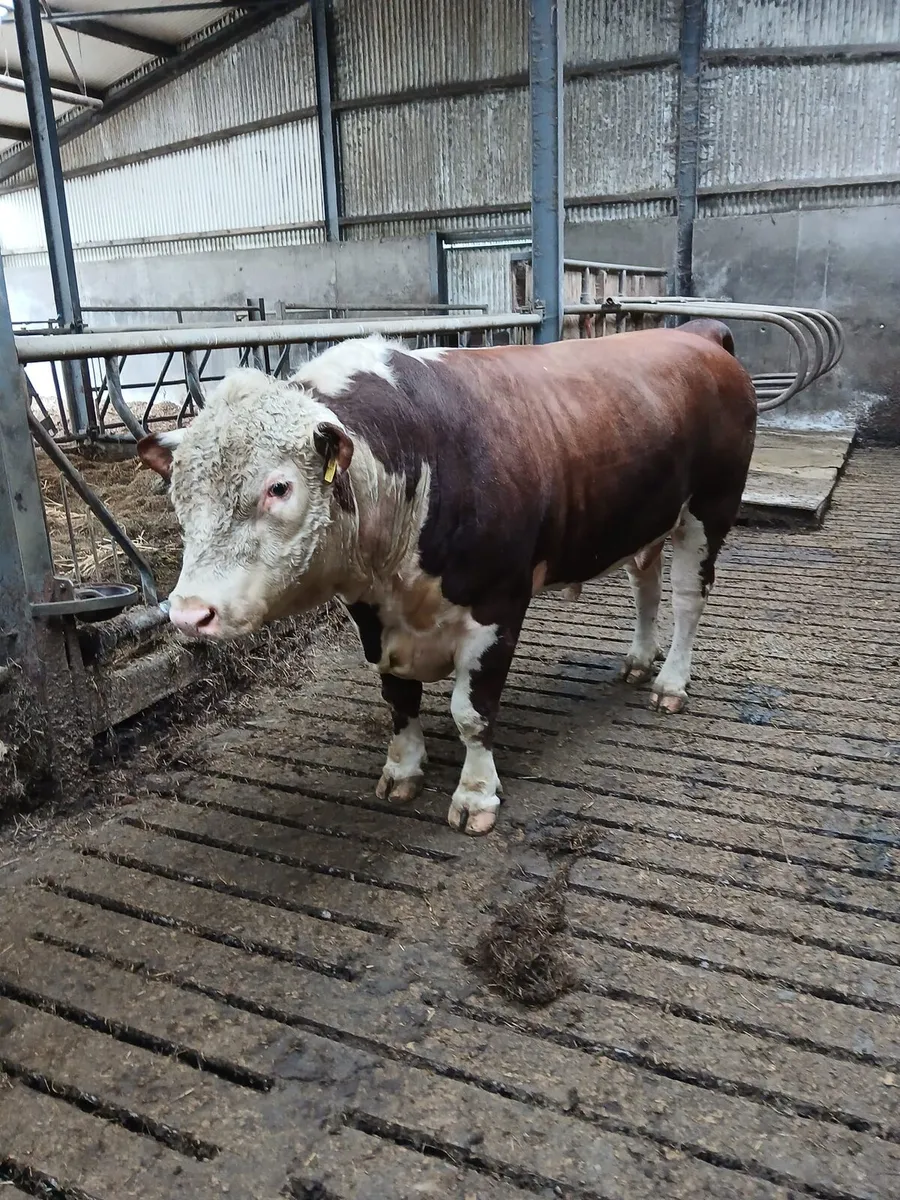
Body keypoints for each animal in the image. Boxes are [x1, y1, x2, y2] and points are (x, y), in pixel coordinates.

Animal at [139, 324, 757, 835]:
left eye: (279, 487)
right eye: (177, 491)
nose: (189, 612)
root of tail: (694, 334)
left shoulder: (499, 606)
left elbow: (471, 712)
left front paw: (476, 795)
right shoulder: (372, 614)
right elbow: (397, 698)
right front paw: (403, 770)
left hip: (710, 508)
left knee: (687, 600)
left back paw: (670, 682)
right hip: (647, 518)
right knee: (644, 583)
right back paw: (637, 659)